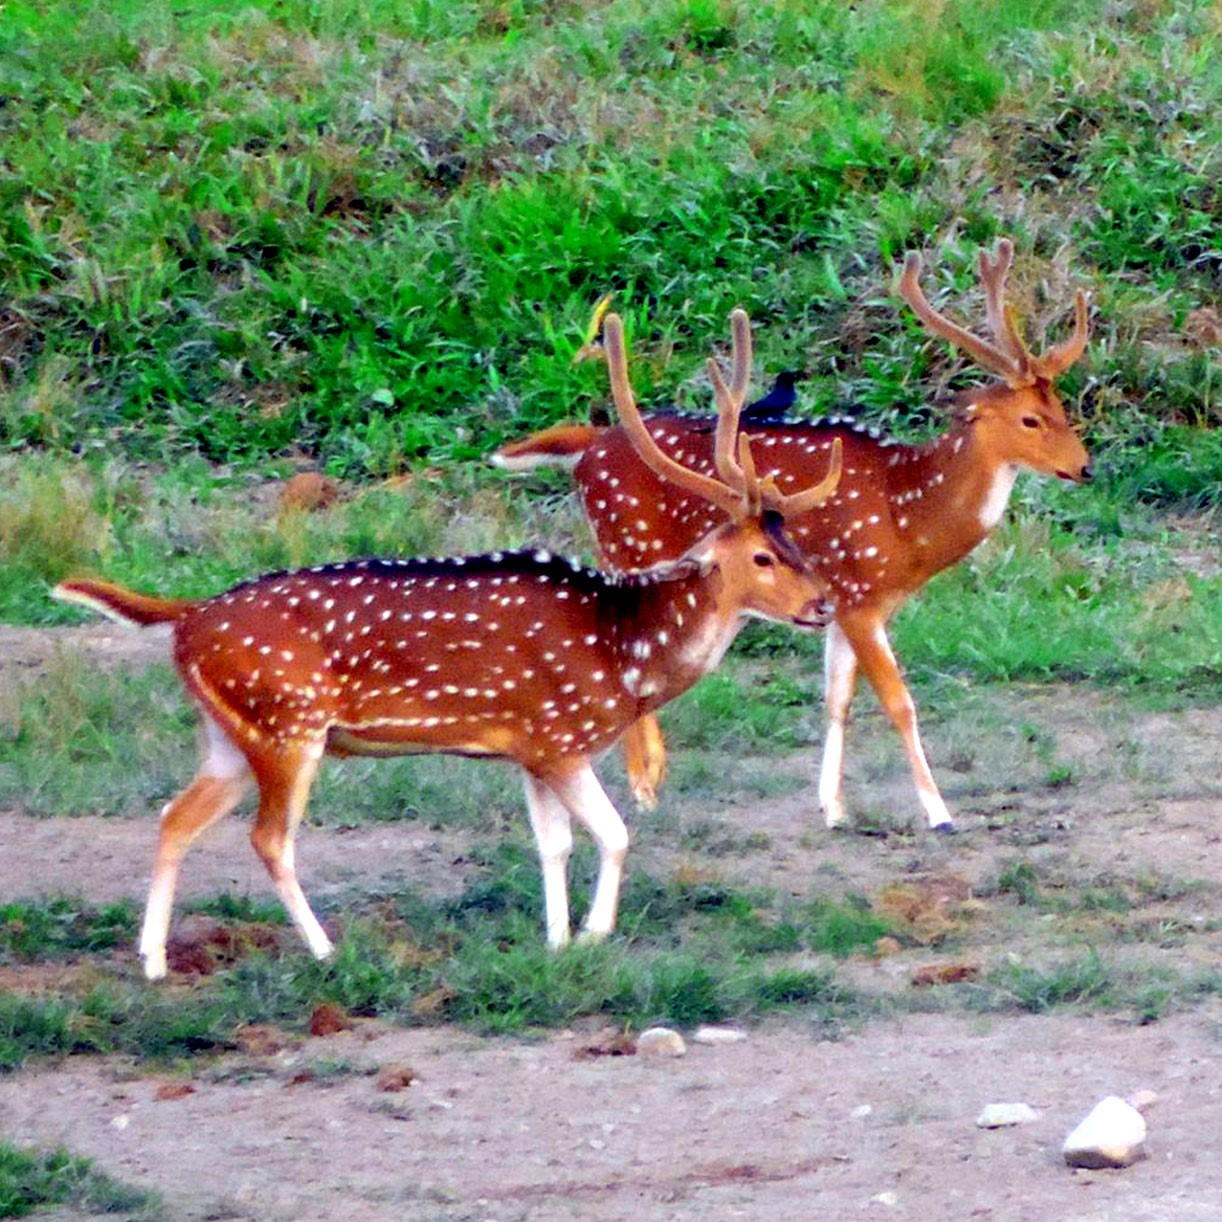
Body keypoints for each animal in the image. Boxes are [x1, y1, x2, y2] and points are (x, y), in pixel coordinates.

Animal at [57, 310, 840, 977]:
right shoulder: (562, 736)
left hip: (229, 734)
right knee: (268, 838)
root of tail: (185, 616)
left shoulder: (531, 744)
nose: (824, 605)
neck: (626, 656)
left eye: (794, 542)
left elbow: (553, 843)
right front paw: (593, 934)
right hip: (288, 724)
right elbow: (614, 834)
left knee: (174, 817)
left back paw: (154, 961)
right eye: (762, 557)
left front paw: (556, 941)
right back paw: (324, 949)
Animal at [496, 238, 1099, 830]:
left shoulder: (853, 605)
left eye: (1061, 408)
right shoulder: (855, 595)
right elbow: (898, 701)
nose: (1085, 467)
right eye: (1029, 420)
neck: (908, 520)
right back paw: (644, 788)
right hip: (629, 542)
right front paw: (939, 813)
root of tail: (587, 448)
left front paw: (832, 807)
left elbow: (837, 701)